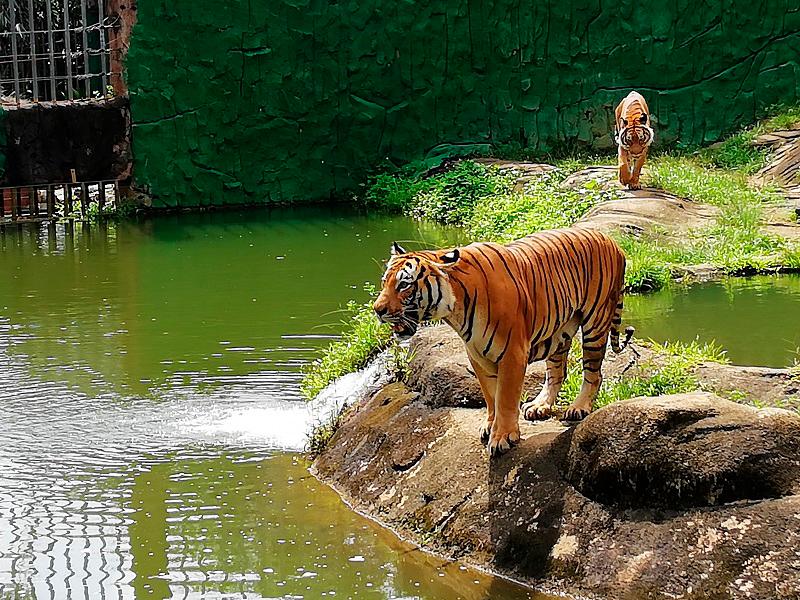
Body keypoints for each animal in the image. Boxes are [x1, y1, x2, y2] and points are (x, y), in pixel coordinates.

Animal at [373, 227, 633, 456]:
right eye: (385, 282)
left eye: (404, 285)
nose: (378, 310)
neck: (454, 308)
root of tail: (613, 242)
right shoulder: (477, 355)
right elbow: (491, 396)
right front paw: (491, 425)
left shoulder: (512, 353)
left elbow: (505, 397)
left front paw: (503, 437)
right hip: (560, 329)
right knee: (556, 372)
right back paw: (539, 406)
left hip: (595, 322)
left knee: (594, 373)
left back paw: (579, 407)